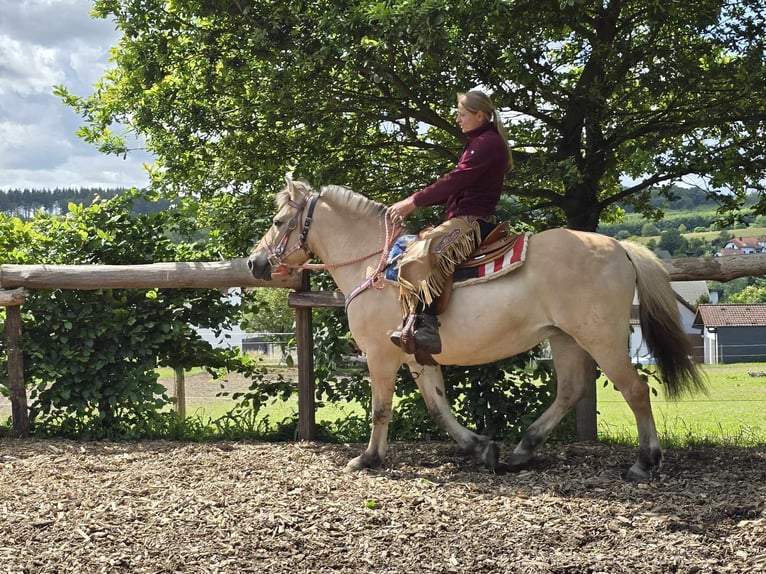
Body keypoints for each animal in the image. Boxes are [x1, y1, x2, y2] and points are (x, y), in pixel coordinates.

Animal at [248, 180, 708, 482]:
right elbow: (438, 408)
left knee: (635, 390)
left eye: (279, 220)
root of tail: (619, 248)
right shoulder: (417, 355)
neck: (373, 265)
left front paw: (369, 459)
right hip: (564, 338)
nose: (255, 262)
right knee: (571, 390)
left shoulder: (381, 355)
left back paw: (644, 462)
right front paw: (482, 447)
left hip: (602, 339)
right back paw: (521, 452)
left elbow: (381, 409)